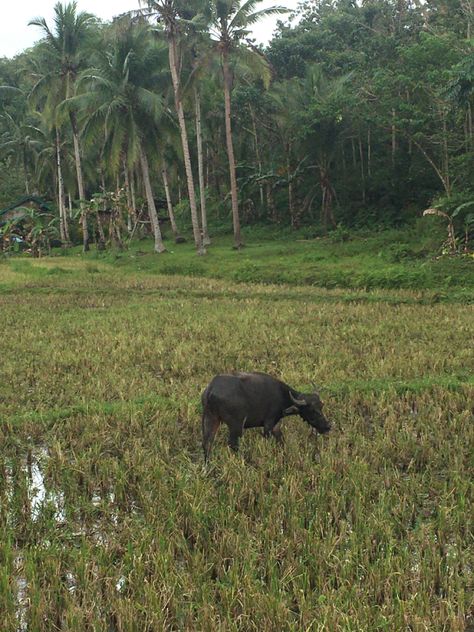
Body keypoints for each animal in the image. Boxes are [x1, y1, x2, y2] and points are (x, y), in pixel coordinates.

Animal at [200, 372, 330, 462]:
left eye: (321, 406)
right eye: (312, 410)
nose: (328, 427)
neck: (282, 395)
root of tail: (210, 390)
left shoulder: (276, 426)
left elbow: (281, 442)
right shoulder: (268, 424)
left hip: (210, 419)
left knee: (207, 443)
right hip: (235, 425)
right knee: (233, 444)